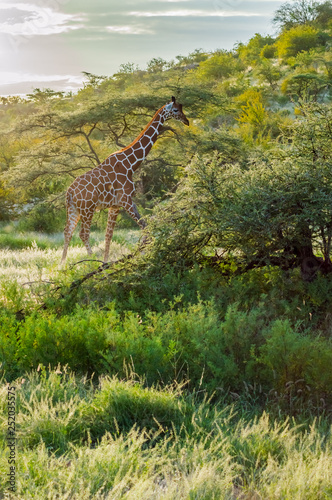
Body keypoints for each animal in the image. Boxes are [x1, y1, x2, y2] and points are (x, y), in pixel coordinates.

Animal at [60, 95, 188, 264]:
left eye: (182, 107)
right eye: (175, 110)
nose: (187, 121)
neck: (130, 164)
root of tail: (69, 192)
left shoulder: (118, 204)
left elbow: (111, 235)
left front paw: (107, 261)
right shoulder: (125, 200)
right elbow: (142, 227)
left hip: (74, 208)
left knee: (67, 231)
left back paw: (62, 264)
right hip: (88, 209)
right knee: (83, 234)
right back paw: (91, 260)